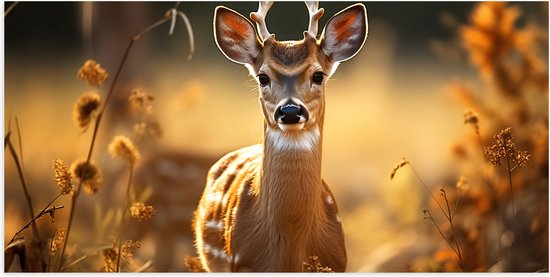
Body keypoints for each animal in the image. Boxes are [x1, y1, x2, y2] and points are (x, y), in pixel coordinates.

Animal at [194, 1, 370, 270]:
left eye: (318, 75)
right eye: (262, 77)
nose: (289, 111)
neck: (290, 248)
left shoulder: (337, 263)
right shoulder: (241, 263)